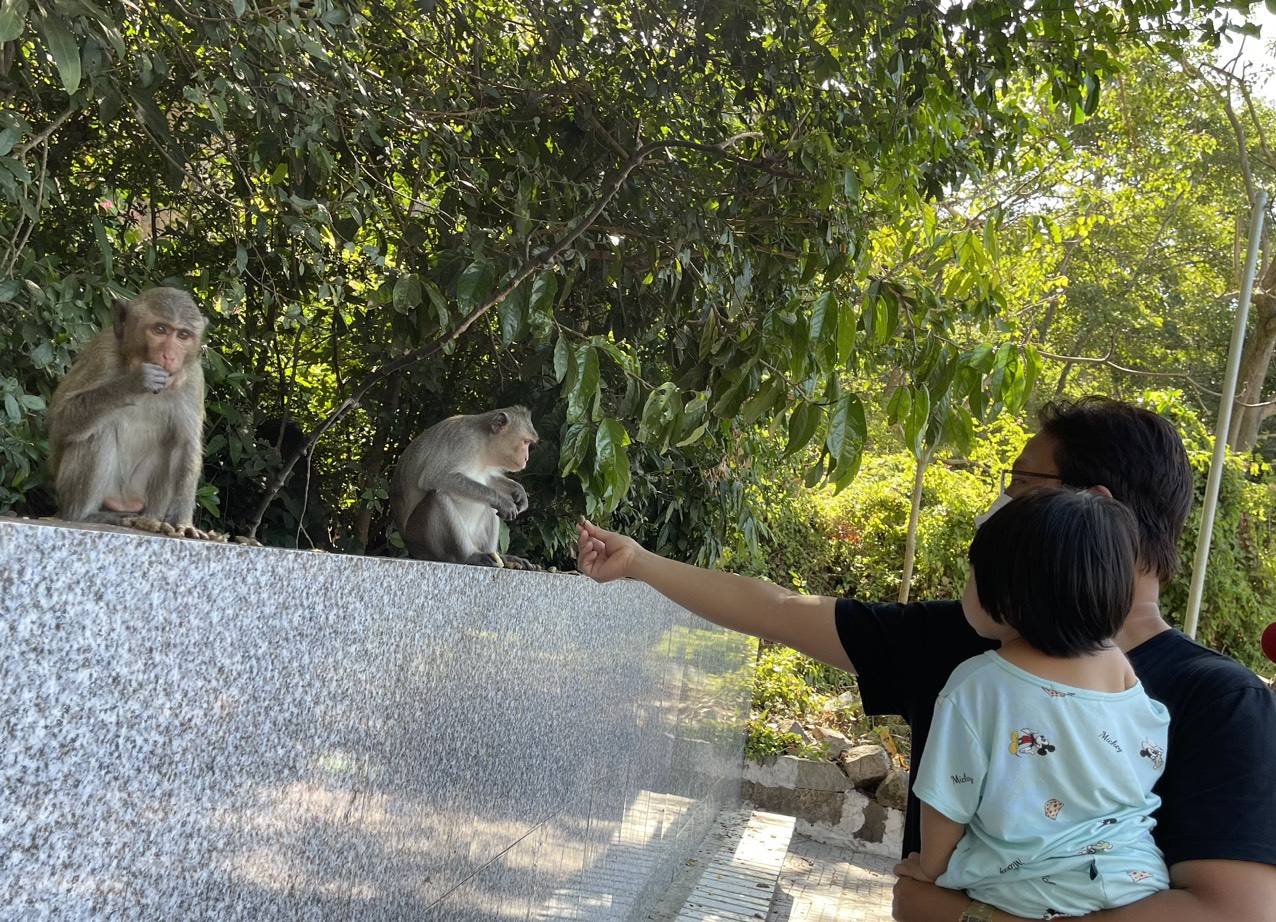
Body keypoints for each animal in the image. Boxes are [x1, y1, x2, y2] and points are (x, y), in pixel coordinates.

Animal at [49, 288, 209, 533]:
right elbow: (61, 419)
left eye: (183, 335)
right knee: (96, 433)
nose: (169, 356)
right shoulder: (103, 354)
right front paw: (136, 381)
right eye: (160, 330)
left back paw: (151, 520)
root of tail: (123, 501)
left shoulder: (192, 379)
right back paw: (87, 516)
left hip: (138, 495)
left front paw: (182, 521)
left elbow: (185, 447)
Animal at [387, 405, 538, 566]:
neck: (483, 443)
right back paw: (470, 556)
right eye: (525, 442)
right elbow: (435, 477)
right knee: (438, 497)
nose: (526, 458)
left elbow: (489, 480)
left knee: (488, 506)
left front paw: (519, 491)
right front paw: (503, 502)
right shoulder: (463, 442)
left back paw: (499, 556)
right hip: (421, 541)